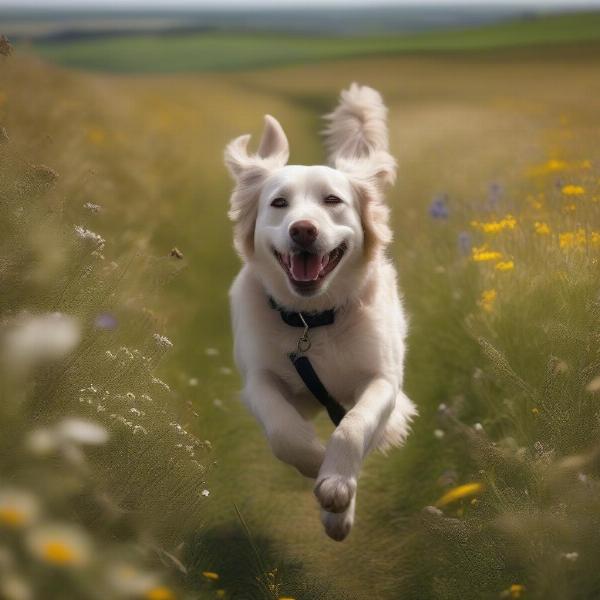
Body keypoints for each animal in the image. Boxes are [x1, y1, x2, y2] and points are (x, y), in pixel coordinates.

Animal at [225, 83, 418, 540]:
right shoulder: (258, 378)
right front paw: (316, 464)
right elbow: (284, 431)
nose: (303, 230)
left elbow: (353, 427)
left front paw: (336, 488)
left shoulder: (384, 381)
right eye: (279, 203)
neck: (311, 318)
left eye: (332, 200)